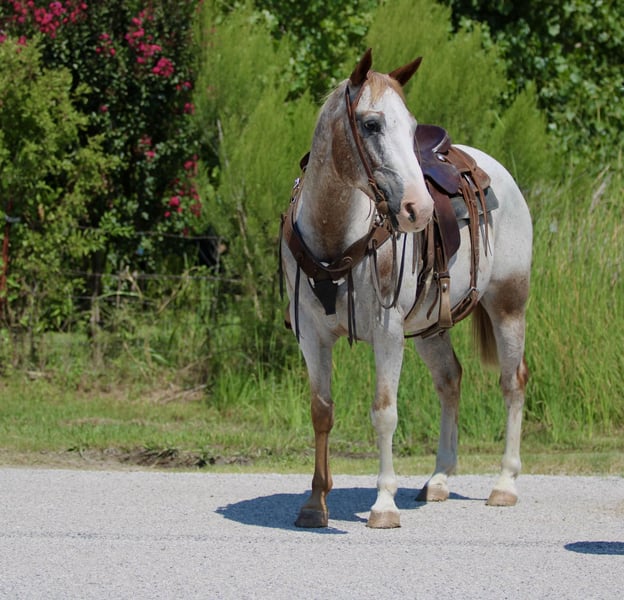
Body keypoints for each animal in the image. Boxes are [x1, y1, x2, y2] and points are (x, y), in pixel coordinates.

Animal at [279, 49, 532, 528]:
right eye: (371, 124)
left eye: (412, 127)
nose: (421, 209)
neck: (334, 234)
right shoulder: (311, 334)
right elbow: (321, 411)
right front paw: (314, 502)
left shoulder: (388, 332)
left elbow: (384, 412)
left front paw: (383, 504)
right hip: (432, 327)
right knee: (450, 380)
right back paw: (439, 479)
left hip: (508, 304)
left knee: (512, 382)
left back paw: (506, 484)